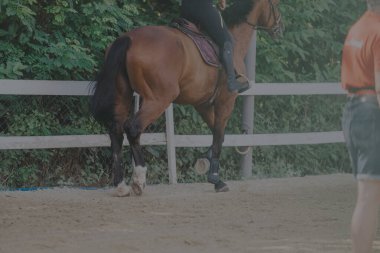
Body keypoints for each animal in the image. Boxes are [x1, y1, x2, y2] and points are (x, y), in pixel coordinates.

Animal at [91, 0, 282, 197]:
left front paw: (205, 162)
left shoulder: (203, 105)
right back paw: (139, 179)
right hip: (158, 100)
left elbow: (219, 136)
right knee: (133, 128)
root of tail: (128, 39)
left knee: (116, 131)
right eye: (275, 4)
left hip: (123, 96)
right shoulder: (225, 102)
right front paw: (216, 179)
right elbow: (219, 136)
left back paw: (121, 185)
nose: (279, 28)